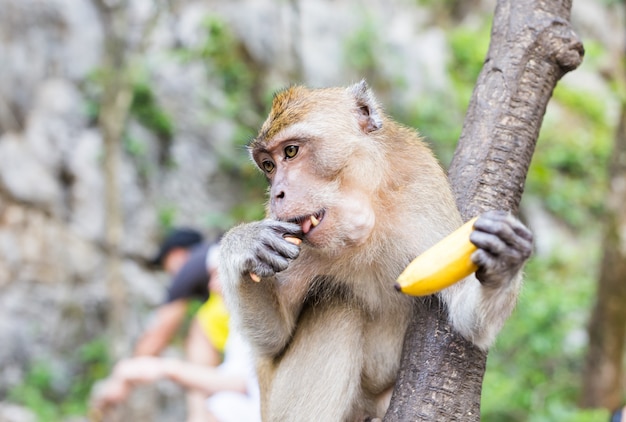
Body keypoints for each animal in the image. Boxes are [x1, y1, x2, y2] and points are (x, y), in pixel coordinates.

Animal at [219, 81, 532, 420]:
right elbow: (273, 340)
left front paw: (503, 264)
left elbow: (468, 318)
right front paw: (243, 245)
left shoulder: (420, 186)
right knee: (339, 303)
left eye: (290, 151)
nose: (277, 193)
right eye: (269, 165)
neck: (365, 224)